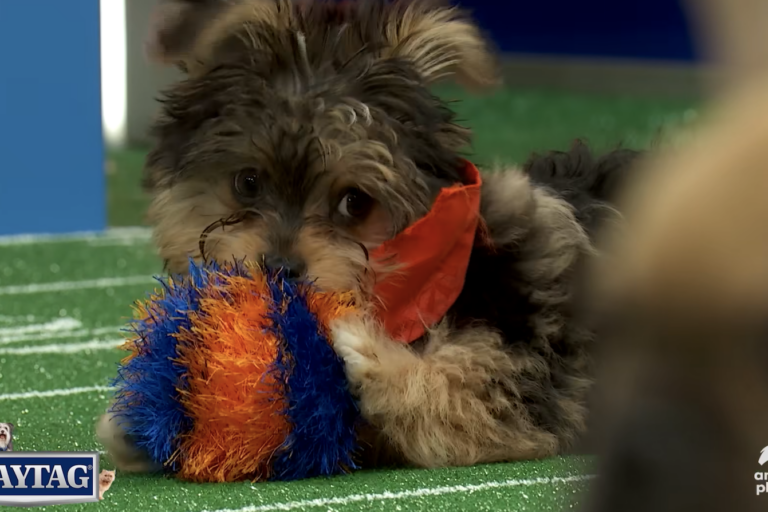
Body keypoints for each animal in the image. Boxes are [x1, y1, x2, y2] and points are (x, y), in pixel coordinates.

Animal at [99, 0, 640, 472]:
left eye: (355, 203)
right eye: (248, 183)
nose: (280, 267)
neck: (446, 272)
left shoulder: (537, 370)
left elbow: (458, 387)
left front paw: (371, 353)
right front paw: (142, 424)